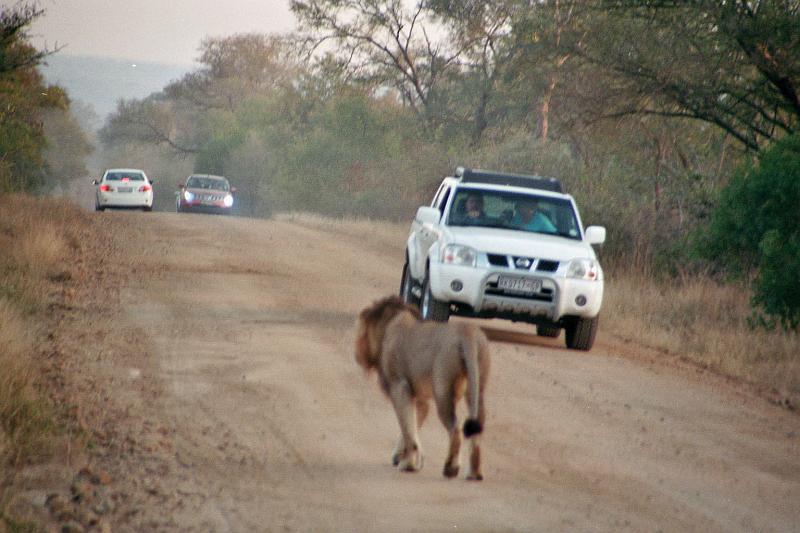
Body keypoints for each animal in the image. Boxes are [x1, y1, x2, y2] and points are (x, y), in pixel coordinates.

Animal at [354, 296, 490, 478]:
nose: (357, 355)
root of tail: (468, 332)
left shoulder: (400, 387)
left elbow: (407, 428)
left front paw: (408, 464)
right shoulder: (418, 397)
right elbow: (412, 425)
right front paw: (403, 457)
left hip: (443, 390)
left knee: (455, 429)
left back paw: (451, 468)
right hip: (477, 388)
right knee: (477, 429)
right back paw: (474, 473)